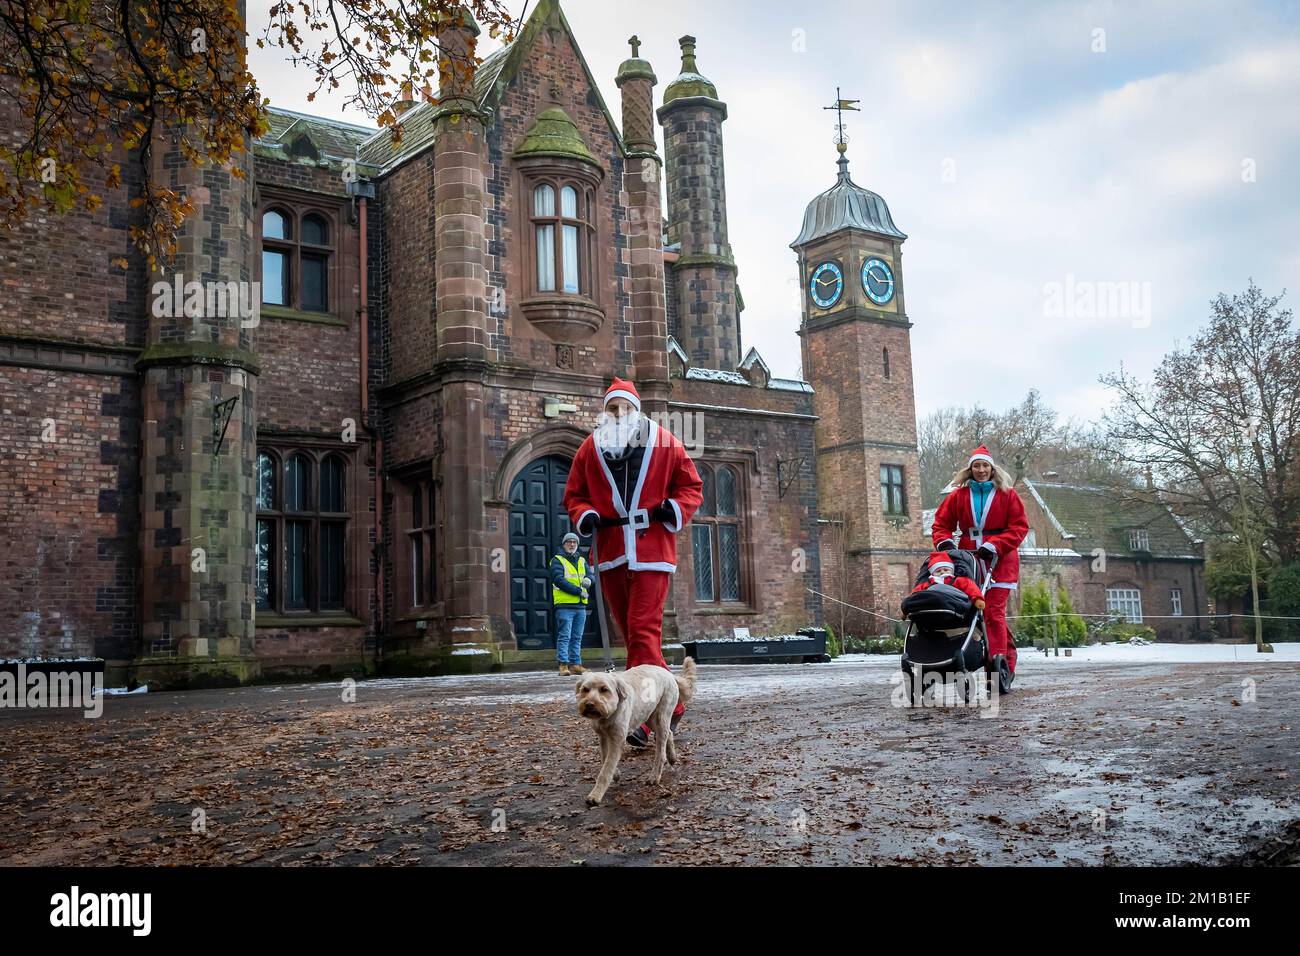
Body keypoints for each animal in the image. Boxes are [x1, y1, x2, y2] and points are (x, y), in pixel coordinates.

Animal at [577, 658, 696, 806]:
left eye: (604, 689)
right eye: (585, 690)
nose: (589, 704)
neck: (608, 715)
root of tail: (669, 674)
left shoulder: (617, 739)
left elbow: (606, 769)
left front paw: (595, 795)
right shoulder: (603, 737)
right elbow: (605, 759)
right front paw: (616, 774)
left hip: (661, 716)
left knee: (661, 751)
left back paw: (654, 776)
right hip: (649, 717)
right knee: (669, 732)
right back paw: (672, 757)